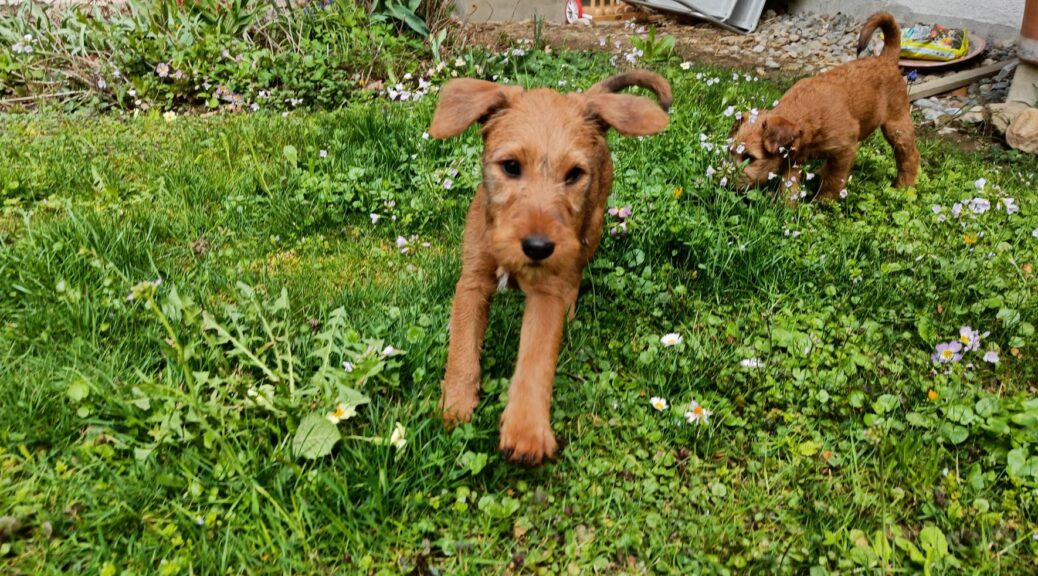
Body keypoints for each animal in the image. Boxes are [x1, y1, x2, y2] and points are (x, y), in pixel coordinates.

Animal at [429, 70, 672, 467]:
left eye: (573, 174)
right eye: (511, 166)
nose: (538, 248)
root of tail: (587, 96)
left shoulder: (546, 294)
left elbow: (535, 360)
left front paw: (526, 431)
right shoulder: (472, 282)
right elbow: (462, 349)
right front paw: (456, 405)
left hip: (591, 228)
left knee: (574, 275)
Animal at [726, 11, 921, 202]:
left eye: (750, 158)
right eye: (730, 151)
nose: (727, 185)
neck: (805, 114)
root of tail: (886, 59)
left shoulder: (844, 150)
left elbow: (834, 180)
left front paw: (824, 202)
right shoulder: (794, 158)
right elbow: (790, 187)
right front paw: (787, 207)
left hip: (897, 125)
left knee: (910, 157)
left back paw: (904, 188)